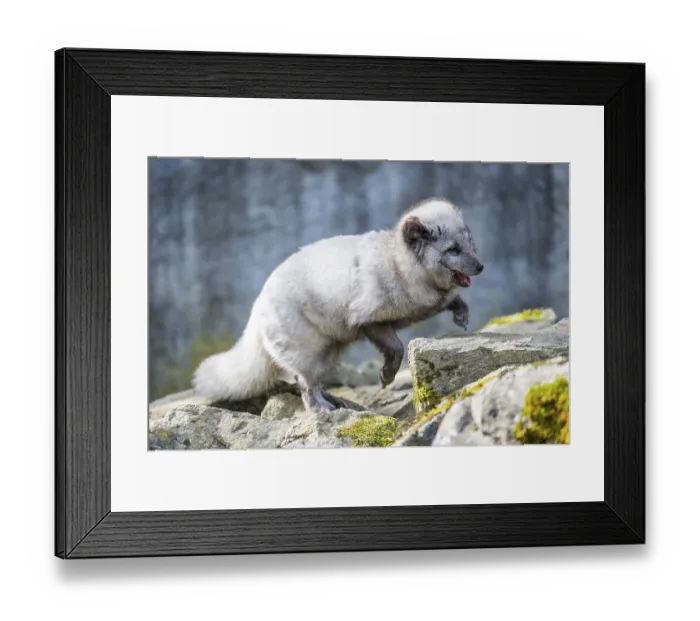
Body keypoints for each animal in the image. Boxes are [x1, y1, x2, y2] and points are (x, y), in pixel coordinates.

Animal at [193, 198, 484, 413]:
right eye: (453, 250)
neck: (399, 265)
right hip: (307, 353)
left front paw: (461, 314)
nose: (481, 266)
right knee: (305, 386)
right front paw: (387, 376)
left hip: (326, 353)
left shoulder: (400, 314)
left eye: (470, 243)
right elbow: (398, 348)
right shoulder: (368, 320)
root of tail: (257, 306)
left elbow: (450, 301)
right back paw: (321, 409)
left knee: (308, 381)